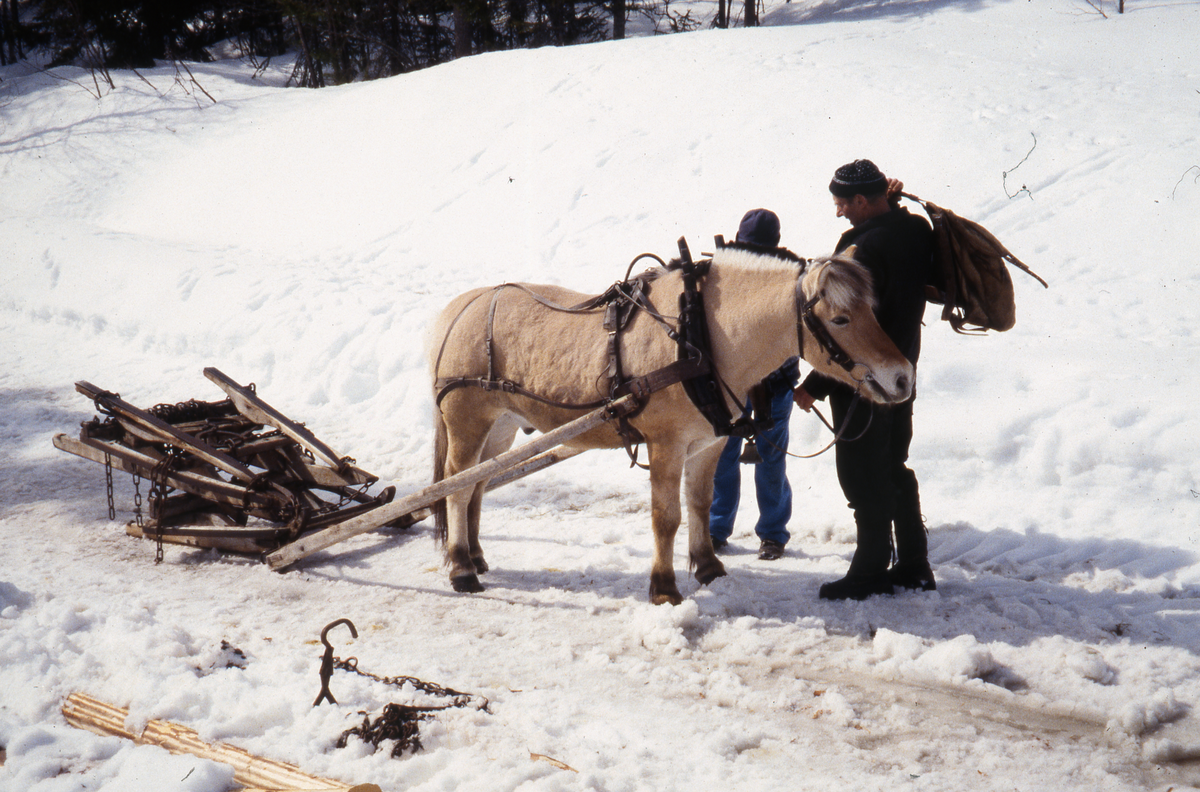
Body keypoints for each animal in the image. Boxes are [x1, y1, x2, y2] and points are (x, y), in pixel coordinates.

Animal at [427, 244, 912, 602]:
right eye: (840, 318)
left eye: (872, 309)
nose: (903, 377)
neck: (702, 338)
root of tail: (460, 307)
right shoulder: (667, 444)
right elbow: (667, 516)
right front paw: (663, 587)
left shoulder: (708, 443)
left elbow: (699, 502)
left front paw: (709, 567)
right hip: (468, 421)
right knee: (456, 485)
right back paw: (462, 568)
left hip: (501, 426)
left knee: (476, 484)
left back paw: (474, 554)